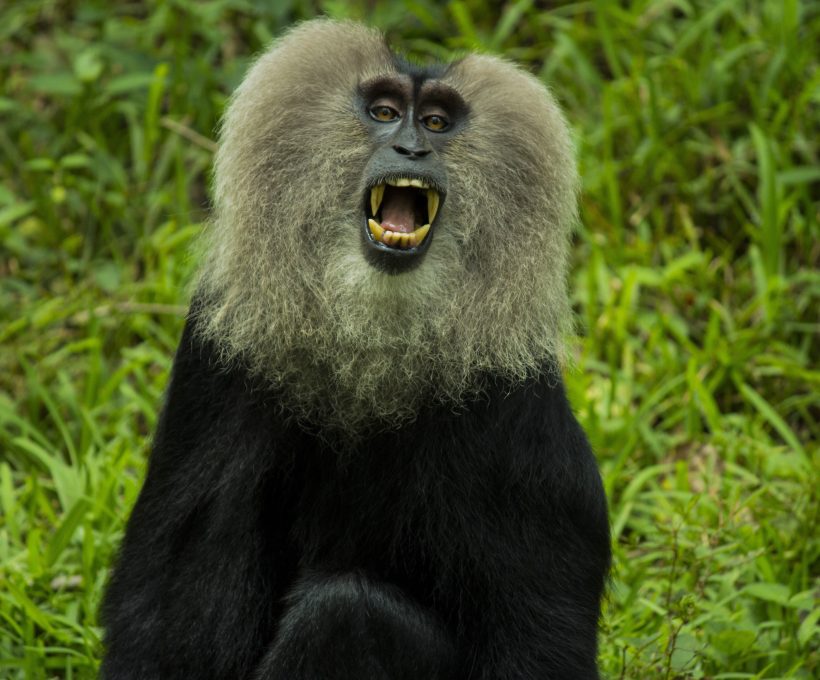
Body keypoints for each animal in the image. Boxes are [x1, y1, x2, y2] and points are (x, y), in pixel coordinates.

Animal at [99, 17, 608, 680]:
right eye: (385, 112)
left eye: (437, 122)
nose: (412, 150)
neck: (373, 343)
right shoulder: (217, 362)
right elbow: (165, 606)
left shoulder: (515, 403)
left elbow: (541, 637)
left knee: (350, 610)